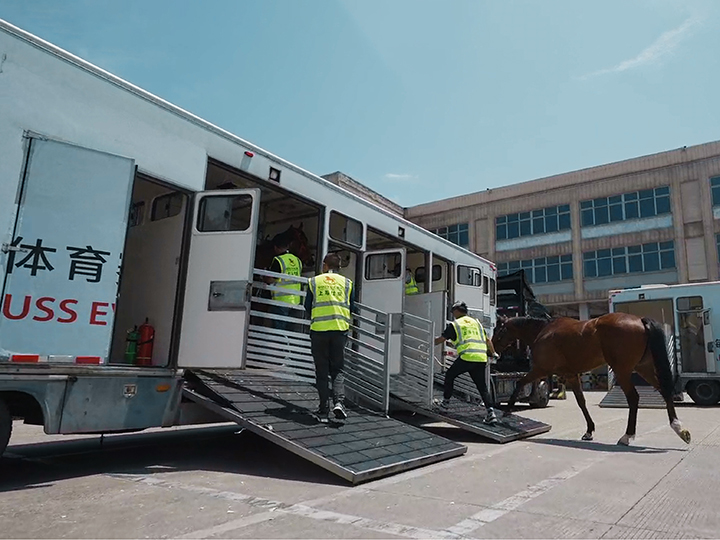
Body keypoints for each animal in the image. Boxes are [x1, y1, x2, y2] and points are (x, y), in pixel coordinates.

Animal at [492, 313, 691, 446]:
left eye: (497, 329)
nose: (493, 348)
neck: (543, 331)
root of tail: (640, 321)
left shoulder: (541, 369)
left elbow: (520, 383)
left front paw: (506, 412)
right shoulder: (571, 375)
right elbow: (581, 402)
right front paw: (589, 431)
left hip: (623, 371)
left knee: (634, 398)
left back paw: (627, 436)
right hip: (644, 368)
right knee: (664, 390)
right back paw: (679, 429)